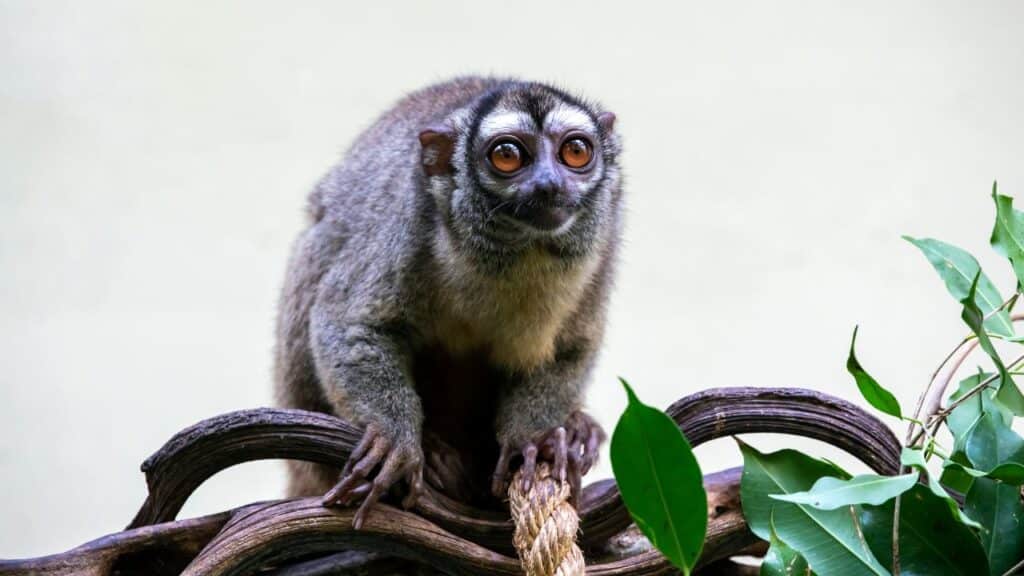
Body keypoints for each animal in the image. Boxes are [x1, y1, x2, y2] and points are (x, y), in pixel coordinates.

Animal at [274, 76, 623, 528]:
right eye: (507, 156)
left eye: (576, 151)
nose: (549, 184)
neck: (518, 250)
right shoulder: (407, 221)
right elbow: (350, 322)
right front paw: (396, 440)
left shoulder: (604, 239)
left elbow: (571, 348)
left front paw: (534, 439)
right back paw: (438, 453)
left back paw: (578, 431)